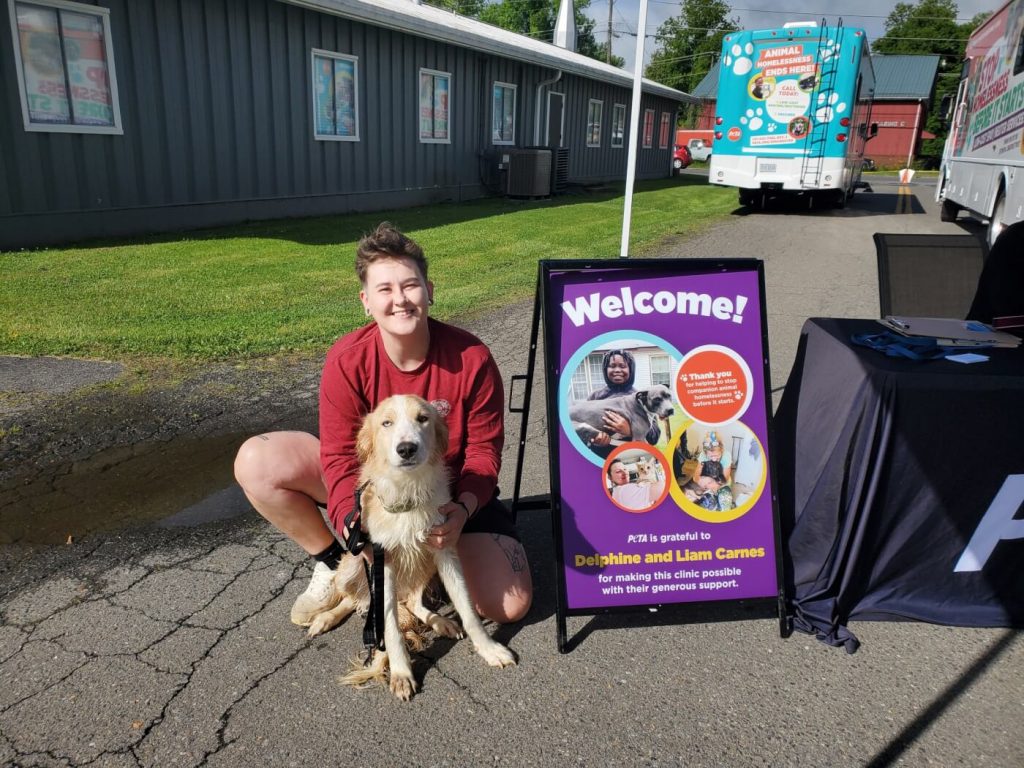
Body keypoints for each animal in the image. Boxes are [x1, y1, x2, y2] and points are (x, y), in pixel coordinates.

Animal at [301, 393, 512, 700]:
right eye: (386, 423)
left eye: (423, 418)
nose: (407, 449)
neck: (407, 489)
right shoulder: (381, 559)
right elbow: (389, 626)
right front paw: (401, 672)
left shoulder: (444, 549)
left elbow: (468, 607)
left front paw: (489, 648)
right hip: (352, 566)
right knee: (354, 600)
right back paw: (325, 618)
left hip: (424, 563)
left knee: (411, 600)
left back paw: (441, 622)